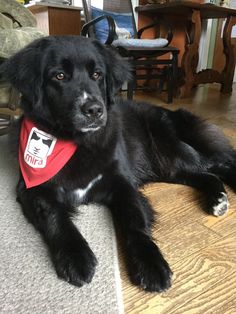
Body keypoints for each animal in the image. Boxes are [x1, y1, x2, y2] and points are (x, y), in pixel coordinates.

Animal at [0, 36, 235, 292]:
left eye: (97, 75)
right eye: (59, 76)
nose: (94, 110)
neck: (78, 142)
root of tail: (169, 111)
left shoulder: (121, 183)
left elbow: (134, 221)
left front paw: (150, 263)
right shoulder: (32, 189)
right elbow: (55, 217)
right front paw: (76, 256)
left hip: (170, 151)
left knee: (218, 165)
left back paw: (220, 197)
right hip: (167, 166)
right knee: (205, 175)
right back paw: (217, 200)